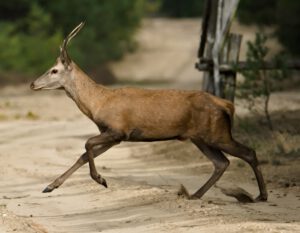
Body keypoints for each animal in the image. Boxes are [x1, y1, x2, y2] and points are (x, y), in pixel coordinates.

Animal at [29, 22, 268, 201]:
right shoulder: (115, 137)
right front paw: (50, 186)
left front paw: (101, 179)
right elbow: (83, 155)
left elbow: (86, 144)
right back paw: (195, 194)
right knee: (221, 162)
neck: (97, 103)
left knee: (248, 152)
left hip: (217, 133)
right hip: (200, 137)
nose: (32, 84)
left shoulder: (118, 129)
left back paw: (261, 196)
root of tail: (227, 105)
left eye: (54, 70)